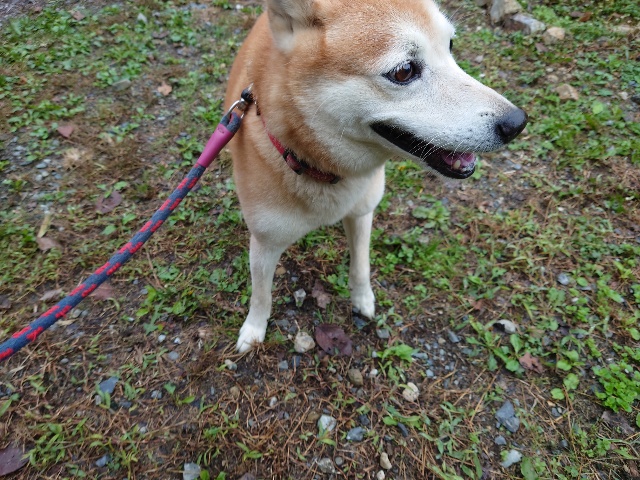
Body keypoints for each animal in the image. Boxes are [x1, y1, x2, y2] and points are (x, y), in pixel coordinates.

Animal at [224, 0, 527, 352]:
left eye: (450, 46)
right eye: (404, 71)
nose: (517, 123)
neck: (323, 169)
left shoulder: (362, 213)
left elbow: (360, 266)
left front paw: (362, 299)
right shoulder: (264, 243)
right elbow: (261, 295)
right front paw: (254, 330)